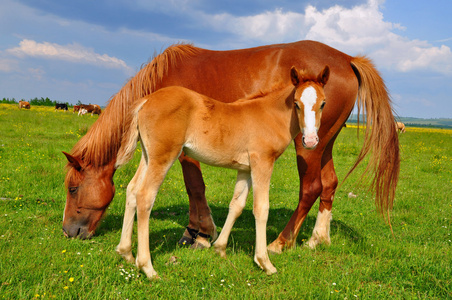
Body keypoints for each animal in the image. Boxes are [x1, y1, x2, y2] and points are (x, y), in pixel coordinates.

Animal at [61, 39, 398, 255]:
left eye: (73, 188)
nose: (68, 232)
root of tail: (347, 59)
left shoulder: (183, 152)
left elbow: (195, 187)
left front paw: (199, 233)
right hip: (323, 142)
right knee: (329, 184)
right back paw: (317, 239)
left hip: (309, 145)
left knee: (312, 187)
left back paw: (281, 242)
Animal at [110, 67, 328, 278]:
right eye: (296, 103)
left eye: (323, 103)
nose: (310, 141)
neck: (269, 115)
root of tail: (146, 100)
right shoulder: (262, 162)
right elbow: (261, 208)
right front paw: (264, 262)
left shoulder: (245, 169)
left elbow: (236, 205)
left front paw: (220, 248)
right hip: (163, 156)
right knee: (145, 195)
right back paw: (147, 267)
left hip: (147, 156)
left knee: (132, 189)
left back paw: (126, 252)